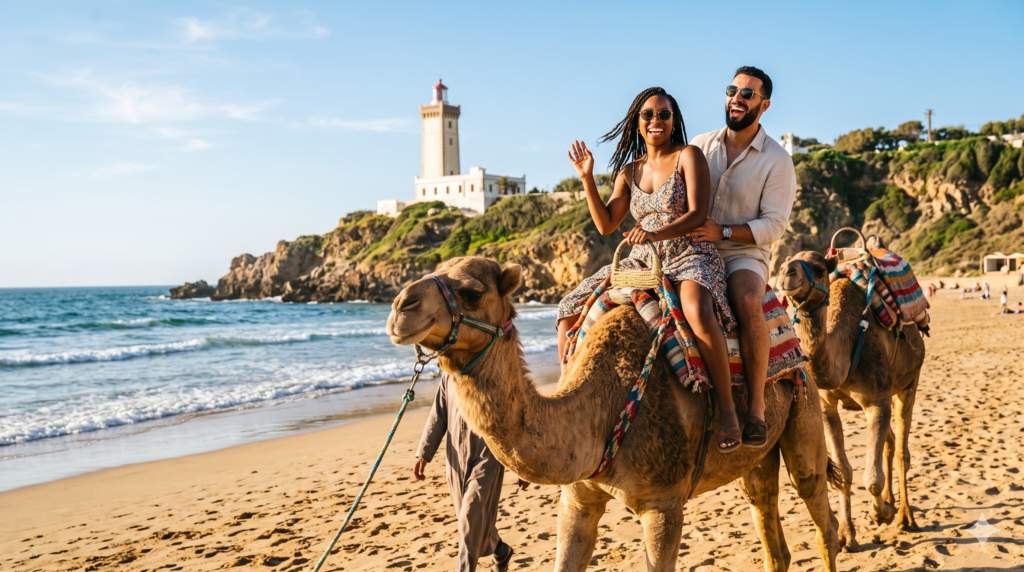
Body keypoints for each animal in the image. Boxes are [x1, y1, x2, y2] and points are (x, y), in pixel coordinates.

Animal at [387, 257, 841, 572]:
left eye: (471, 291)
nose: (400, 306)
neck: (603, 406)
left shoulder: (664, 505)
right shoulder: (577, 498)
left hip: (803, 406)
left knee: (819, 508)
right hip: (756, 456)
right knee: (768, 521)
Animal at [776, 252, 925, 552]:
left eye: (818, 268)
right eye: (786, 261)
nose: (786, 272)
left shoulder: (876, 401)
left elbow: (873, 479)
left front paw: (881, 513)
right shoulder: (827, 407)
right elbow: (844, 472)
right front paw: (847, 535)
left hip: (908, 382)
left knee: (902, 450)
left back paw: (904, 516)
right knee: (890, 443)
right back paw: (891, 501)